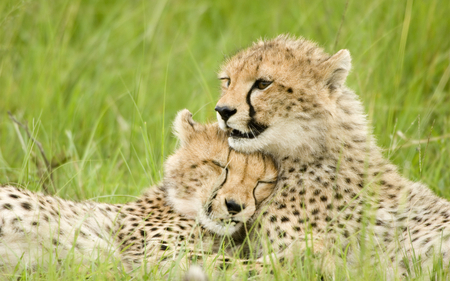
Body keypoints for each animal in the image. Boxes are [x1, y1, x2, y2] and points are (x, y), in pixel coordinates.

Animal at [0, 108, 278, 274]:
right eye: (219, 165)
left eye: (261, 182)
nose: (235, 206)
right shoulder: (155, 257)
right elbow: (243, 266)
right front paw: (287, 259)